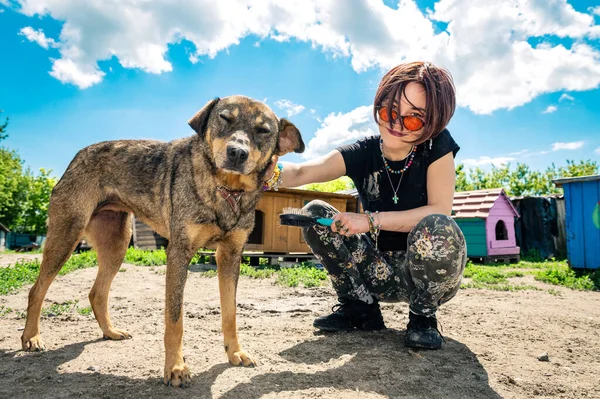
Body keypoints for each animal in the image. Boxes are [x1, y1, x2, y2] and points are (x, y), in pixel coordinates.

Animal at [19, 95, 304, 390]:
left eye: (263, 131)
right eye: (225, 118)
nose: (237, 153)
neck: (225, 188)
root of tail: (78, 155)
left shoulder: (230, 256)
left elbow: (230, 314)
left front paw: (235, 352)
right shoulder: (179, 253)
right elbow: (175, 320)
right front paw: (175, 368)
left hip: (116, 246)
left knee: (96, 292)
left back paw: (110, 331)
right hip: (66, 237)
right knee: (36, 290)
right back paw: (31, 338)